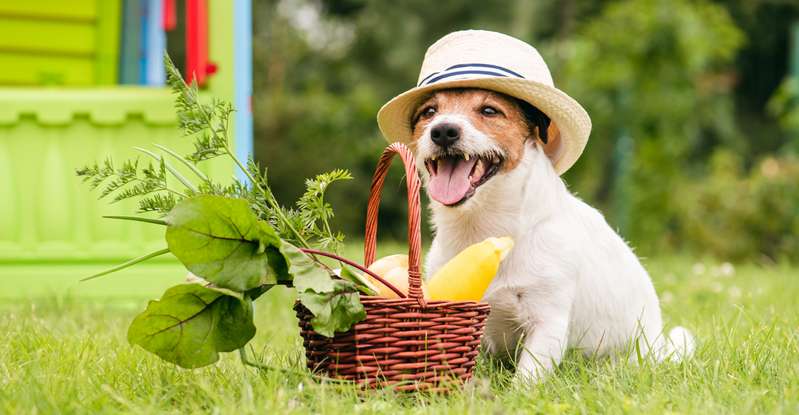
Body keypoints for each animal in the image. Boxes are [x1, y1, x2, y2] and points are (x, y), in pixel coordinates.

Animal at [376, 31, 692, 384]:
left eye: (489, 110)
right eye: (429, 111)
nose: (443, 130)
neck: (485, 227)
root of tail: (658, 346)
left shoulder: (548, 321)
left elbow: (526, 379)